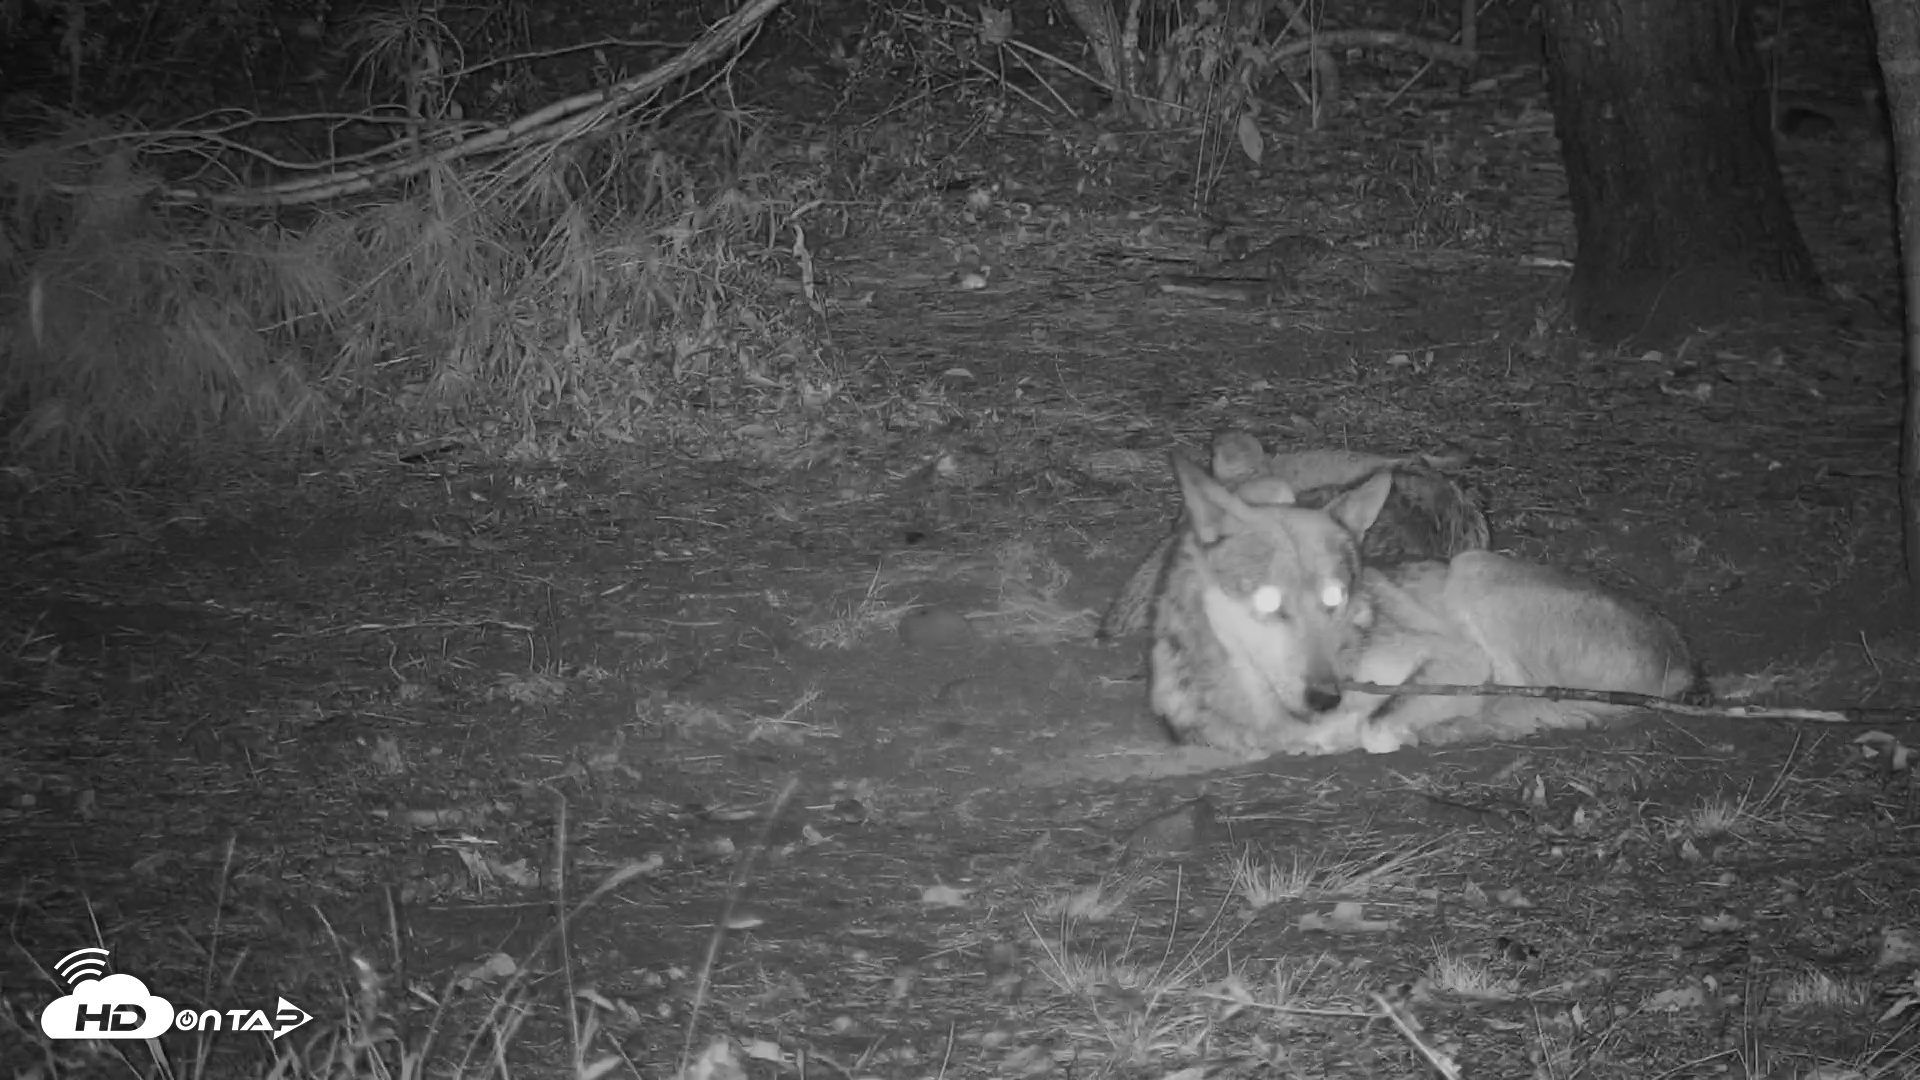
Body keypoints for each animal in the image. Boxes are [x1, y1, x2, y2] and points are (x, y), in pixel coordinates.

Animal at [1148, 453, 1697, 757]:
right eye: (1268, 602)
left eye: (1335, 598)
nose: (1327, 697)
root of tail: (1688, 662)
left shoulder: (1460, 660)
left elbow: (1376, 726)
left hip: (1474, 571)